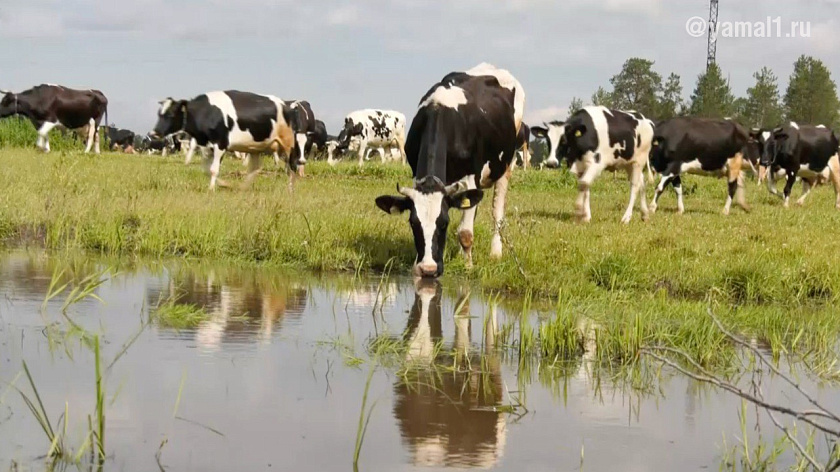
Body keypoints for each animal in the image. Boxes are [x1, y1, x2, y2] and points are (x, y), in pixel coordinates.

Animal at [149, 90, 296, 188]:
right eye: (159, 114)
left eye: (170, 114)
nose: (153, 133)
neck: (207, 112)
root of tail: (285, 104)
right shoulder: (206, 147)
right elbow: (207, 169)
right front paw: (223, 184)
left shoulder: (220, 144)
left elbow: (213, 169)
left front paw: (211, 189)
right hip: (255, 146)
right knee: (255, 168)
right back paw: (243, 188)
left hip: (287, 143)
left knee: (291, 167)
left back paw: (290, 188)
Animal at [370, 62, 520, 276]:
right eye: (413, 223)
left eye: (444, 223)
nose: (428, 269)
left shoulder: (470, 178)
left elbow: (465, 232)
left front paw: (468, 266)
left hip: (506, 164)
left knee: (497, 213)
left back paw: (495, 252)